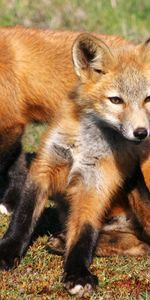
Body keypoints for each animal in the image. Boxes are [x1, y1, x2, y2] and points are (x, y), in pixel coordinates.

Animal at [0, 33, 150, 298]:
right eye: (116, 100)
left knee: (144, 244)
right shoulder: (45, 166)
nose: (141, 133)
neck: (84, 146)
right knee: (139, 244)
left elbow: (84, 234)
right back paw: (62, 241)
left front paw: (77, 274)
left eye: (148, 99)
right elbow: (23, 217)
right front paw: (7, 253)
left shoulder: (96, 183)